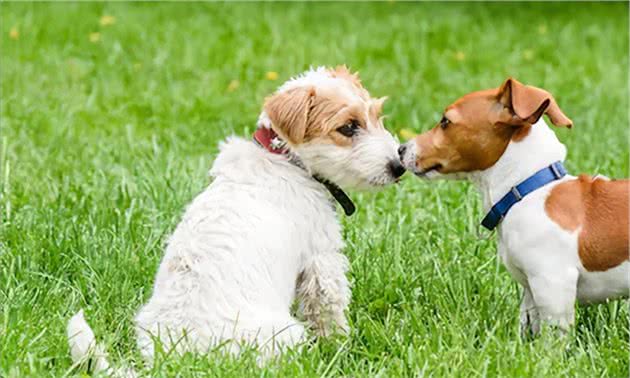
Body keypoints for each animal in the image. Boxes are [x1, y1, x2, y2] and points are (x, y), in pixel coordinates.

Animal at [68, 65, 404, 372]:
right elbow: (329, 311)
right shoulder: (321, 260)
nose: (399, 166)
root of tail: (173, 361)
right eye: (348, 127)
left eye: (377, 115)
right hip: (285, 335)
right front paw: (341, 347)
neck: (285, 159)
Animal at [402, 79, 628, 334]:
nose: (400, 149)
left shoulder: (553, 286)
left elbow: (552, 336)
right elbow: (527, 324)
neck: (526, 191)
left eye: (445, 121)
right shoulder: (531, 291)